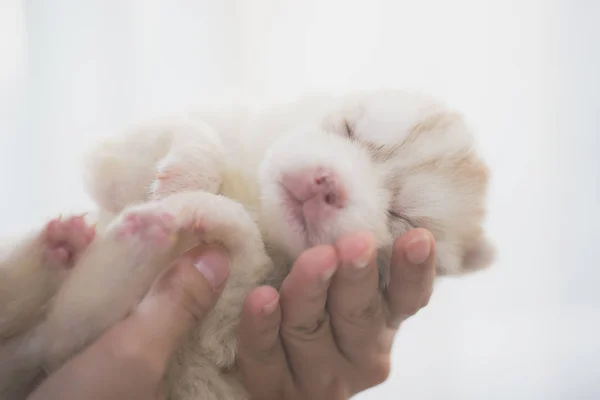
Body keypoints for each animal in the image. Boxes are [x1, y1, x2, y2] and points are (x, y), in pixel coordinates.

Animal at [0, 90, 494, 400]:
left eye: (401, 216)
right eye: (348, 129)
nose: (325, 183)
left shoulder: (220, 340)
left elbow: (244, 265)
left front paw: (210, 212)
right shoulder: (118, 158)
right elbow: (189, 132)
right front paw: (188, 178)